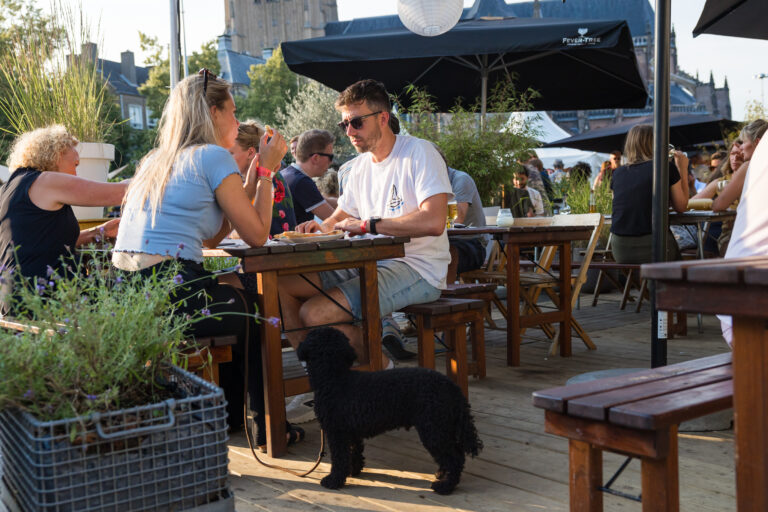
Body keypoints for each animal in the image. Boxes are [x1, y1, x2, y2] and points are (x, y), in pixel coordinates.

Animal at [296, 327, 482, 495]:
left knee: (454, 458)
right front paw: (353, 471)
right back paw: (442, 475)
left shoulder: (337, 432)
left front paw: (334, 480)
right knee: (455, 454)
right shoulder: (351, 432)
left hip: (433, 429)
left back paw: (445, 486)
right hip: (443, 426)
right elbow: (354, 452)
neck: (334, 378)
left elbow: (339, 458)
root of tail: (452, 387)